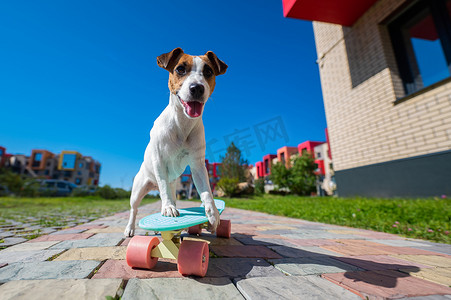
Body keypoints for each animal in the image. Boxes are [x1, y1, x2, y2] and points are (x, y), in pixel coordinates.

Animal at [123, 47, 228, 237]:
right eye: (180, 69)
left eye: (208, 71)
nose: (197, 88)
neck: (183, 124)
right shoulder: (159, 161)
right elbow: (164, 187)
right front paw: (168, 208)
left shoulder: (197, 165)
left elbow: (207, 192)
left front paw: (213, 214)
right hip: (138, 189)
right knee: (135, 209)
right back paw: (130, 228)